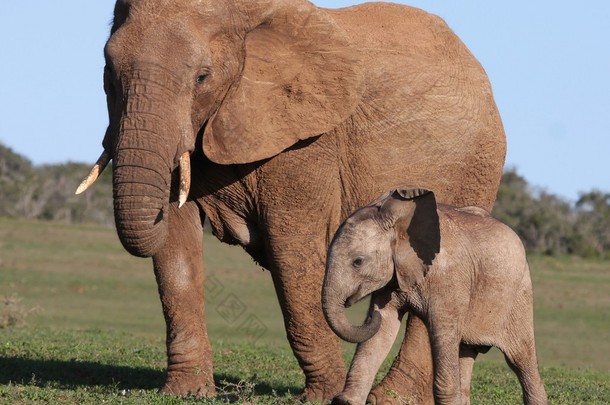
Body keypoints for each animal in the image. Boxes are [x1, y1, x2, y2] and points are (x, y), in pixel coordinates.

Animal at [78, 0, 506, 400]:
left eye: (203, 76)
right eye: (108, 72)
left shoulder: (307, 142)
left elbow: (292, 254)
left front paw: (322, 396)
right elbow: (175, 248)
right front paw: (186, 393)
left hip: (477, 169)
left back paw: (390, 399)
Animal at [324, 189, 548, 404]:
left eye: (358, 262)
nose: (370, 316)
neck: (399, 221)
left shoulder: (448, 279)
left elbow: (442, 335)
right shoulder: (394, 276)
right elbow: (383, 330)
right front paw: (346, 401)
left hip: (519, 296)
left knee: (521, 358)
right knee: (466, 353)